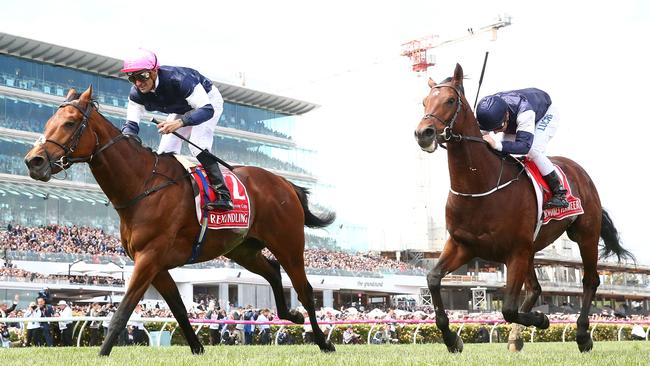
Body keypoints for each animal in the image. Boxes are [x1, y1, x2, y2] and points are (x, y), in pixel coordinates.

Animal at [22, 86, 336, 354]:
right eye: (50, 120)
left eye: (70, 123)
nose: (33, 161)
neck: (142, 184)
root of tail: (285, 183)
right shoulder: (156, 264)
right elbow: (179, 309)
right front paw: (198, 349)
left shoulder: (149, 258)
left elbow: (122, 312)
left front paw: (102, 354)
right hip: (242, 248)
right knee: (272, 271)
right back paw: (291, 315)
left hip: (288, 243)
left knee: (304, 289)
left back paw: (323, 341)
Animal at [412, 64, 632, 354]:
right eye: (424, 101)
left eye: (449, 100)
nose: (423, 133)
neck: (480, 184)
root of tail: (579, 171)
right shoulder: (462, 245)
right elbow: (433, 278)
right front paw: (451, 339)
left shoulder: (515, 251)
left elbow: (507, 308)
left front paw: (542, 319)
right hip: (532, 246)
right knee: (536, 289)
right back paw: (516, 337)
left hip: (585, 234)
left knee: (589, 281)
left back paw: (582, 335)